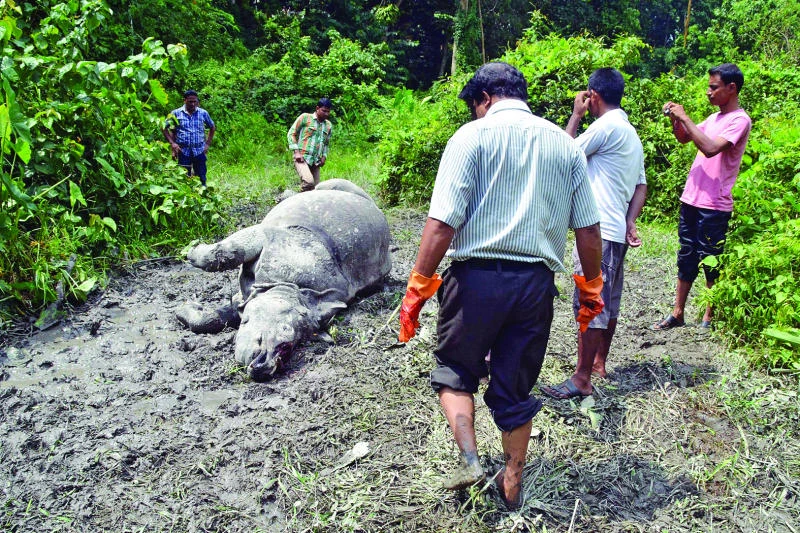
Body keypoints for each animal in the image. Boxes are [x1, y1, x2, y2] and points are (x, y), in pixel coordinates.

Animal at [176, 179, 392, 381]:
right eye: (284, 329)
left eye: (288, 347)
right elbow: (224, 254)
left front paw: (185, 310)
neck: (288, 288)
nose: (264, 366)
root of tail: (378, 211)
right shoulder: (268, 238)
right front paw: (193, 252)